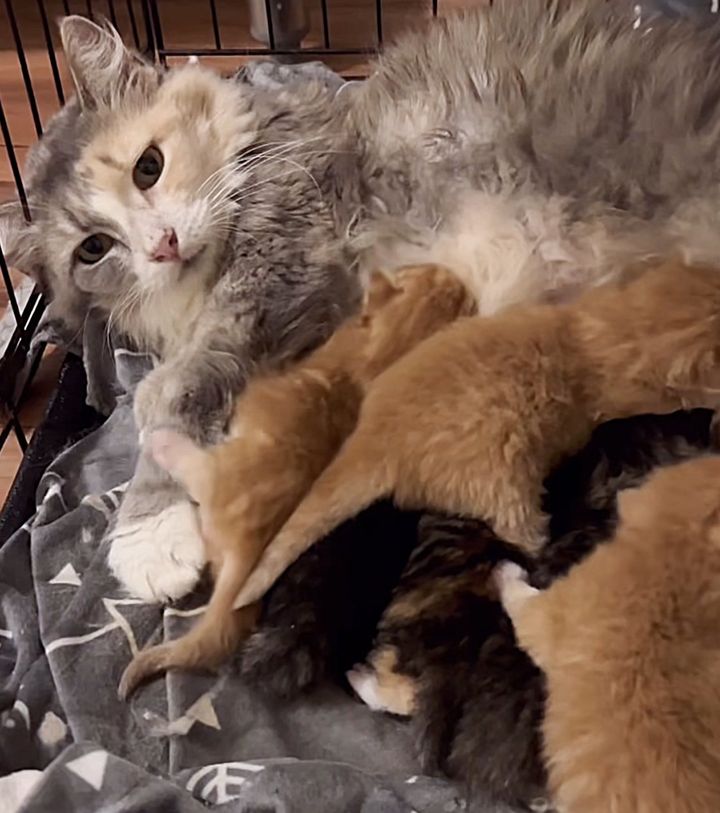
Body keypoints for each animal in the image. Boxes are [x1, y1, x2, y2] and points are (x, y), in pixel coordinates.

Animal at [119, 266, 476, 696]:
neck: (381, 358)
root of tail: (250, 547)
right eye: (434, 277)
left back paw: (164, 443)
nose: (452, 274)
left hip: (215, 472)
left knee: (194, 468)